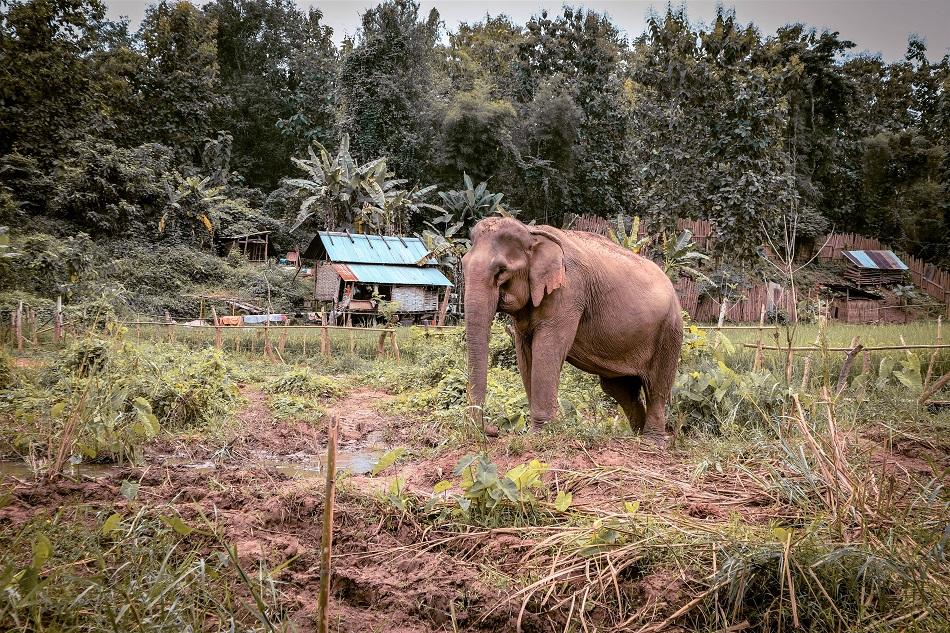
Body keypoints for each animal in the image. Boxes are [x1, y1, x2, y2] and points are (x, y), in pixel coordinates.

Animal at [462, 217, 683, 440]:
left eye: (501, 270)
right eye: (463, 264)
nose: (493, 430)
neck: (532, 233)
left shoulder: (569, 292)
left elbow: (547, 348)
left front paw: (539, 434)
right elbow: (525, 353)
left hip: (669, 330)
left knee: (656, 386)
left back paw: (651, 441)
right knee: (620, 389)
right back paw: (636, 435)